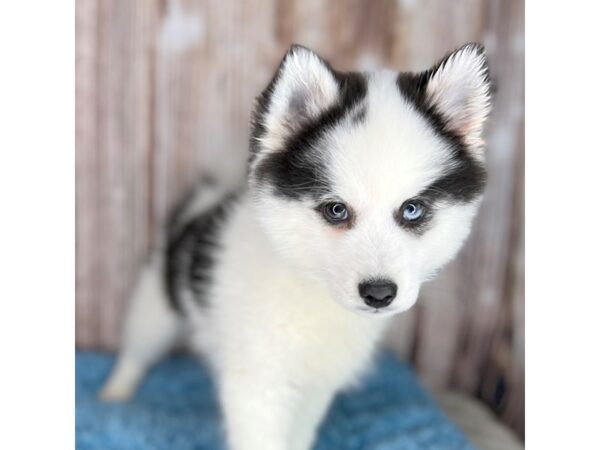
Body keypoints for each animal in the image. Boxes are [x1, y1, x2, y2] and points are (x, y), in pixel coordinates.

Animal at [99, 43, 492, 450]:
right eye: (336, 210)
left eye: (412, 209)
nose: (379, 294)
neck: (312, 289)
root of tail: (208, 195)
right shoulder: (258, 387)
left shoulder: (315, 386)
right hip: (158, 301)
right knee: (138, 347)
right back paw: (115, 393)